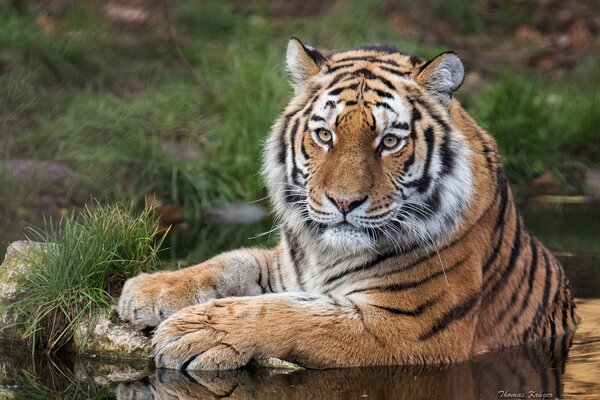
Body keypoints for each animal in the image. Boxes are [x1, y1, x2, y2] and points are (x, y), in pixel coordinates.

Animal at [116, 38, 576, 372]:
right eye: (324, 135)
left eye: (389, 141)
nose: (344, 201)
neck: (327, 254)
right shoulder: (287, 266)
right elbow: (232, 260)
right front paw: (149, 290)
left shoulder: (406, 327)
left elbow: (291, 315)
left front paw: (196, 332)